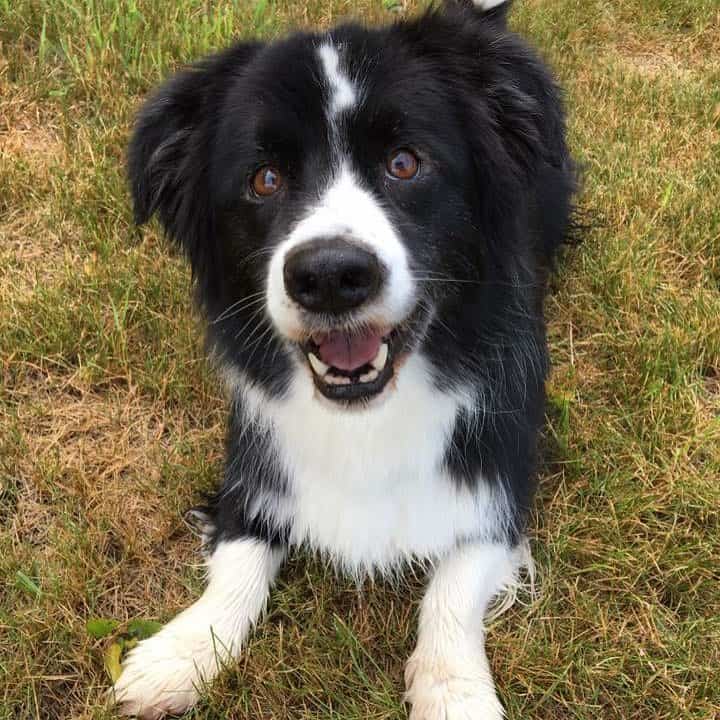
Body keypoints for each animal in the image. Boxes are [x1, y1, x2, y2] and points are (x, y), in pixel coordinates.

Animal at [115, 1, 580, 716]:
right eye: (264, 179)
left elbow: (454, 584)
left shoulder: (500, 475)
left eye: (405, 163)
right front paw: (179, 654)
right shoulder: (255, 459)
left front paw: (453, 689)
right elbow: (239, 557)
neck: (366, 413)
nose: (330, 277)